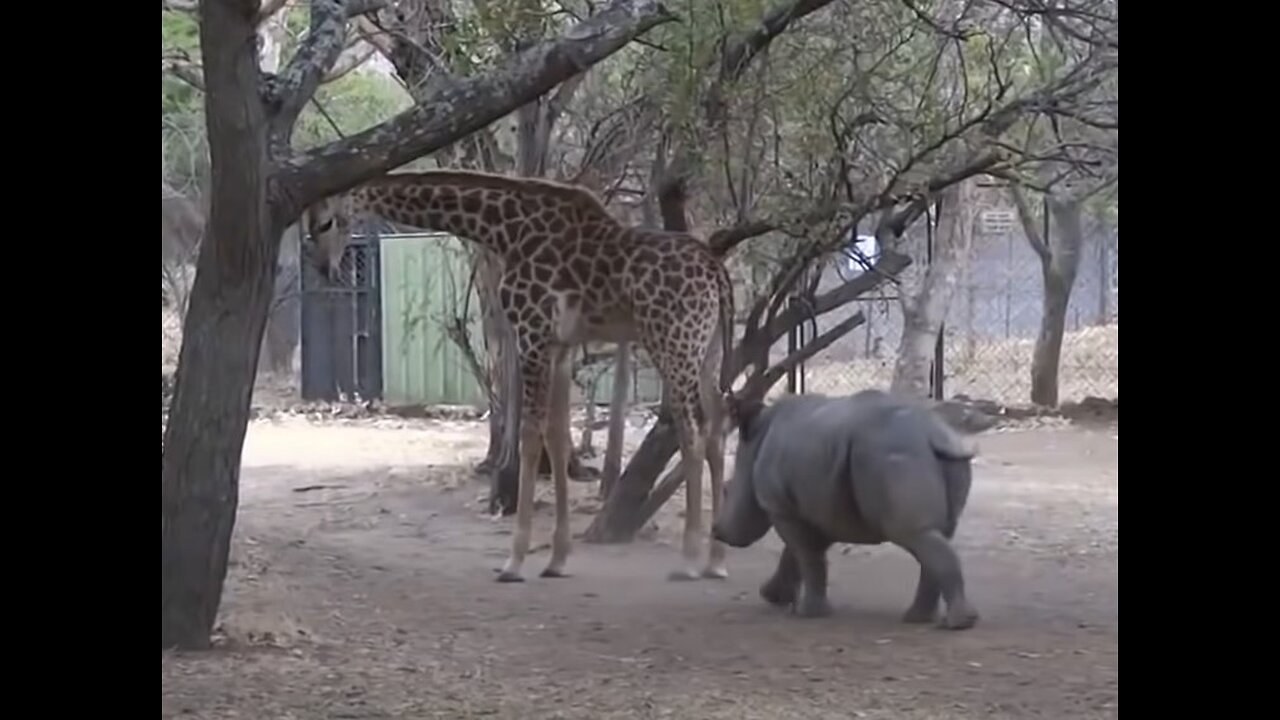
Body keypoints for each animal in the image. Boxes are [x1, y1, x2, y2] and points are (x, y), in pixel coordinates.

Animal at [303, 170, 737, 579]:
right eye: (309, 226)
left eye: (326, 222)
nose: (325, 269)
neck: (504, 230)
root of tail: (718, 273)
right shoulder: (560, 346)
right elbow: (557, 438)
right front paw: (557, 560)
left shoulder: (531, 334)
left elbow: (529, 436)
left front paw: (513, 562)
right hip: (707, 350)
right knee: (717, 427)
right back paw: (716, 560)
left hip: (673, 343)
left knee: (692, 430)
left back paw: (688, 560)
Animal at [711, 386, 977, 627]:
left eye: (726, 489)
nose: (716, 530)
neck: (758, 439)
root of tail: (933, 435)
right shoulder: (822, 508)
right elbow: (797, 553)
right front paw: (772, 596)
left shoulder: (781, 508)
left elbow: (806, 554)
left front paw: (809, 613)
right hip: (942, 458)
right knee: (935, 535)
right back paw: (920, 619)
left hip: (892, 453)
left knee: (913, 534)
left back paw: (955, 623)